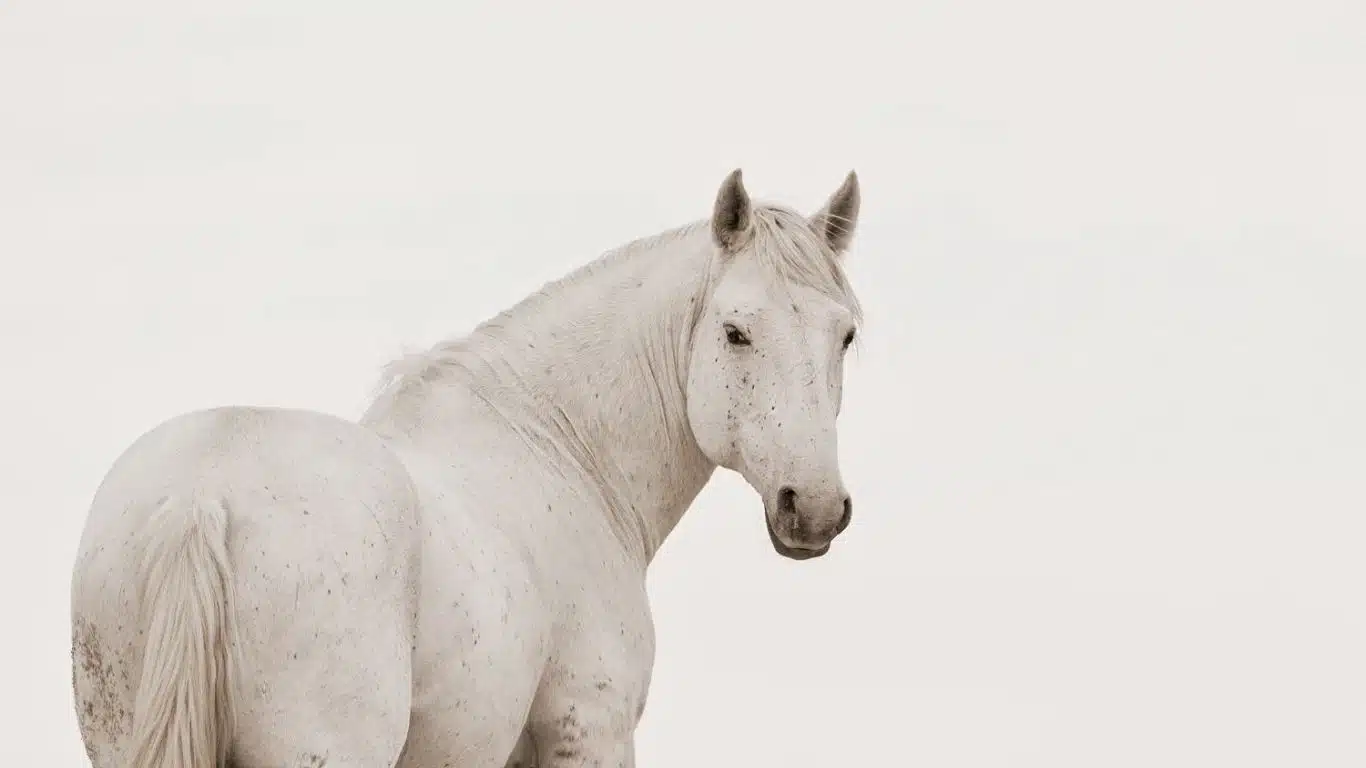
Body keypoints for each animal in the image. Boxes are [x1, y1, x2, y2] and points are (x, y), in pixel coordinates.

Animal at [70, 168, 866, 768]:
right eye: (735, 331)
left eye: (847, 336)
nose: (813, 507)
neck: (557, 447)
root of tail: (202, 496)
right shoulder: (591, 728)